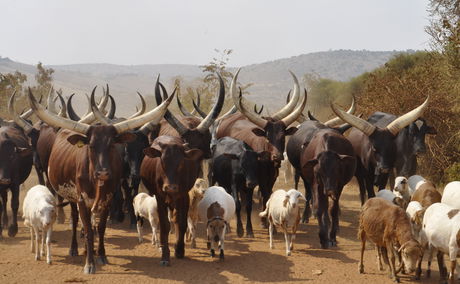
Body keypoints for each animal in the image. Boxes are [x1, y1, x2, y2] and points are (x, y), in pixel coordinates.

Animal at [140, 135, 203, 266]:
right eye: (162, 161)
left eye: (181, 162)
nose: (170, 187)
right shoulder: (160, 198)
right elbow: (164, 226)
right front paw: (165, 255)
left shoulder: (183, 197)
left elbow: (181, 223)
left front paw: (179, 249)